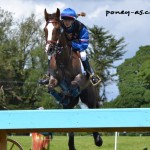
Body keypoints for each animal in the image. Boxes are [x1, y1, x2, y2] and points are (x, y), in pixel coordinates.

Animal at [42, 8, 102, 150]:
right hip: (68, 107)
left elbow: (74, 83)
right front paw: (61, 97)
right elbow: (50, 87)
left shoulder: (79, 77)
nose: (49, 49)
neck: (63, 61)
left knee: (93, 110)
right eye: (45, 29)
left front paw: (72, 91)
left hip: (90, 99)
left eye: (58, 29)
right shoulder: (55, 79)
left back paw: (98, 139)